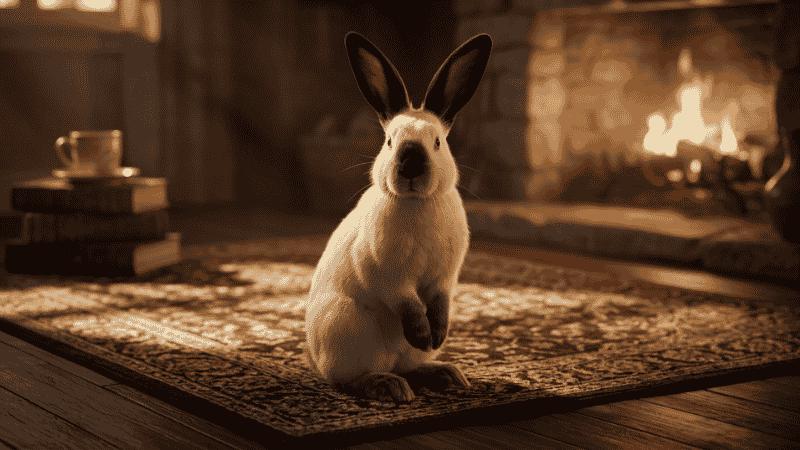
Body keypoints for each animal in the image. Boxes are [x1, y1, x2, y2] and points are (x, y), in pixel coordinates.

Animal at [305, 31, 492, 403]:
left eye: (437, 142)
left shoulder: (445, 277)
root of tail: (315, 357)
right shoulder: (386, 272)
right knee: (348, 379)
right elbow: (408, 304)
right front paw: (422, 333)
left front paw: (437, 335)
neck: (417, 202)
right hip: (347, 328)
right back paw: (389, 386)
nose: (410, 166)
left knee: (406, 366)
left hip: (391, 350)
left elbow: (439, 304)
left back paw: (445, 373)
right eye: (390, 141)